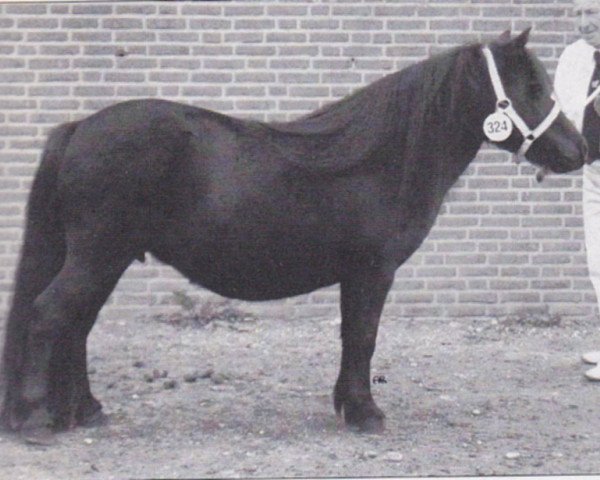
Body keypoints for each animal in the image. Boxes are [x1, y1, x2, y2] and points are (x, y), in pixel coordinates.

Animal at [0, 31, 588, 434]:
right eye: (532, 86)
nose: (579, 150)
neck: (381, 159)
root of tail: (80, 128)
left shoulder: (357, 275)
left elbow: (352, 336)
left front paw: (348, 406)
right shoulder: (373, 271)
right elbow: (364, 337)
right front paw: (366, 413)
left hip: (108, 258)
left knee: (76, 326)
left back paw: (86, 411)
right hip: (100, 255)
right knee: (51, 316)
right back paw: (37, 420)